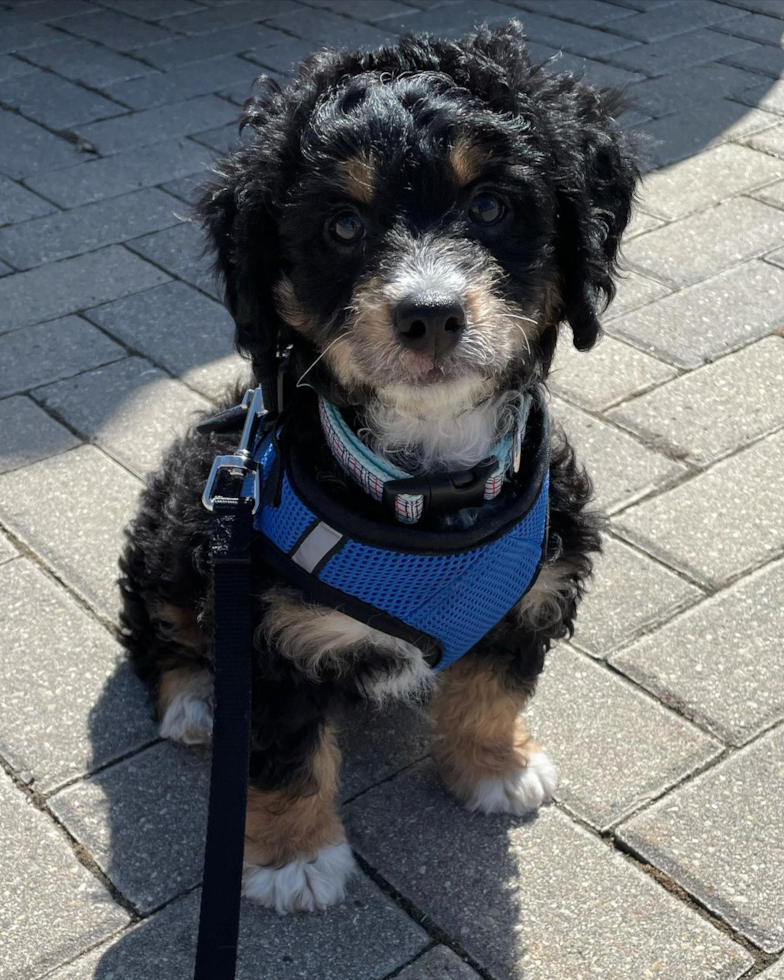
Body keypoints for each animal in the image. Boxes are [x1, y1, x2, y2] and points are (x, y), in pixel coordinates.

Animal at [119, 19, 640, 916]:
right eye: (342, 226)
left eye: (490, 206)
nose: (429, 315)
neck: (426, 487)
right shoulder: (269, 630)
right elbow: (285, 749)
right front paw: (295, 859)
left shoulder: (535, 588)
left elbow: (493, 688)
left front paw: (494, 767)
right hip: (185, 520)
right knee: (160, 626)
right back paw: (192, 700)